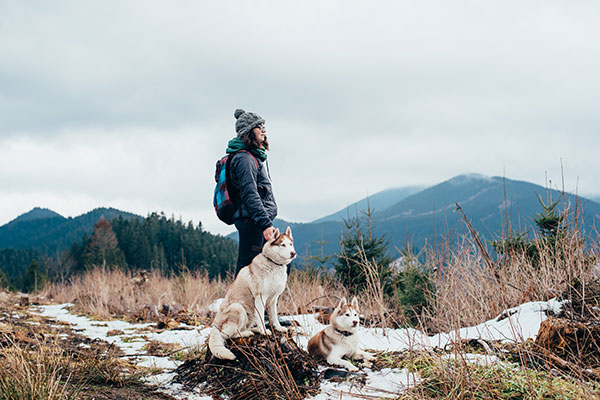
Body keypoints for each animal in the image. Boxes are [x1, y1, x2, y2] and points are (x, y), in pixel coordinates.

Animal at [207, 227, 296, 360]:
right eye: (282, 245)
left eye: (290, 244)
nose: (293, 253)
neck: (274, 265)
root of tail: (215, 327)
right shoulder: (260, 298)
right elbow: (261, 317)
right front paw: (264, 331)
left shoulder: (273, 299)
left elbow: (274, 317)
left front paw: (279, 328)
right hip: (238, 308)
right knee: (230, 335)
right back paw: (248, 332)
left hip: (249, 316)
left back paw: (254, 330)